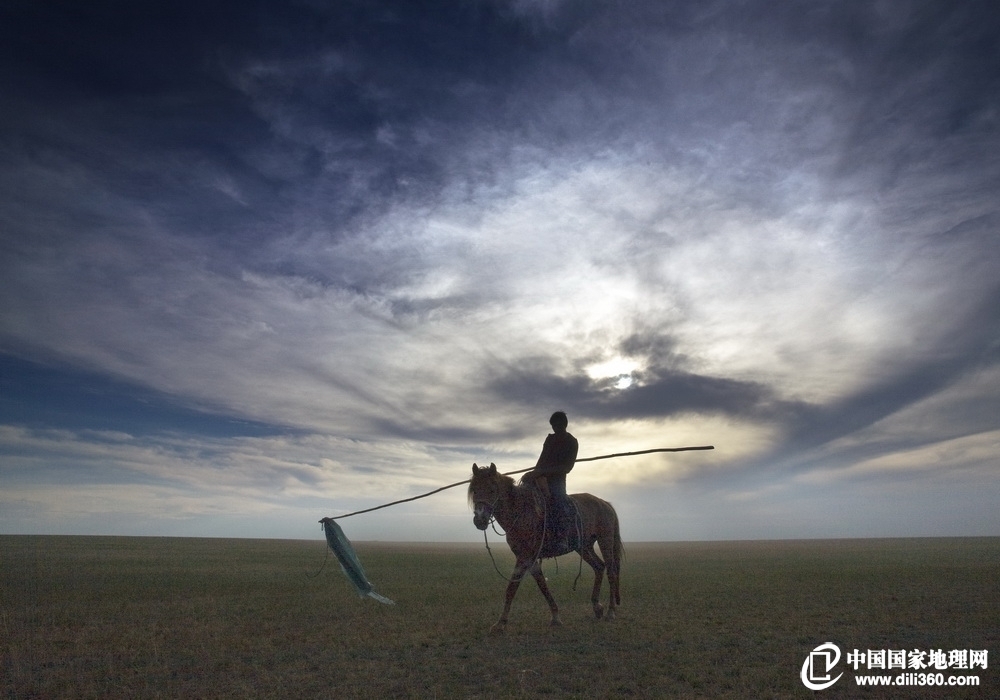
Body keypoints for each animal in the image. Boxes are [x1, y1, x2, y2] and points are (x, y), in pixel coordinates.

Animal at [466, 460, 620, 636]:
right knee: (599, 567)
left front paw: (500, 624)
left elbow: (511, 588)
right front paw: (555, 617)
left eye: (492, 490)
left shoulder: (525, 556)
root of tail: (605, 504)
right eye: (475, 490)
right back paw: (597, 607)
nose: (480, 519)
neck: (520, 512)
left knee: (611, 571)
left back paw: (611, 612)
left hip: (605, 541)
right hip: (584, 547)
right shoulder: (530, 558)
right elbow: (541, 584)